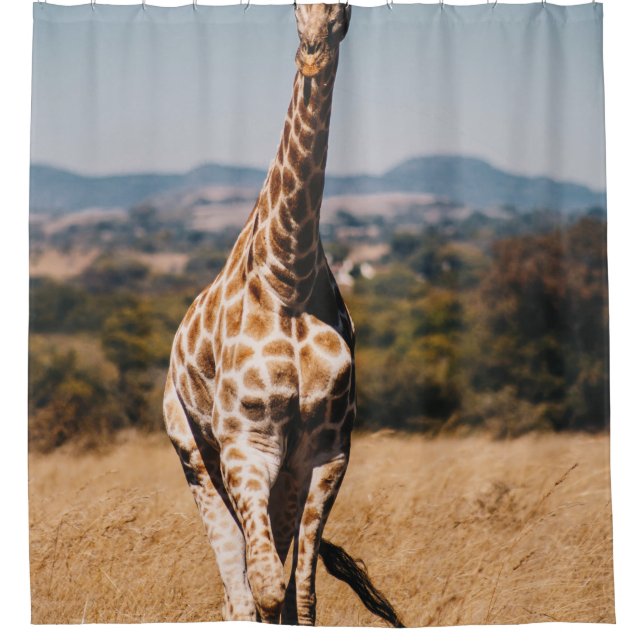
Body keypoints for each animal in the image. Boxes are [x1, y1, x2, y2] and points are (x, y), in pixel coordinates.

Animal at [163, 3, 401, 626]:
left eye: (346, 13)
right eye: (294, 9)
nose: (312, 52)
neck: (287, 278)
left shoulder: (325, 453)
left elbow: (303, 598)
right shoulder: (247, 443)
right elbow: (266, 589)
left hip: (279, 476)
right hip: (195, 454)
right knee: (239, 591)